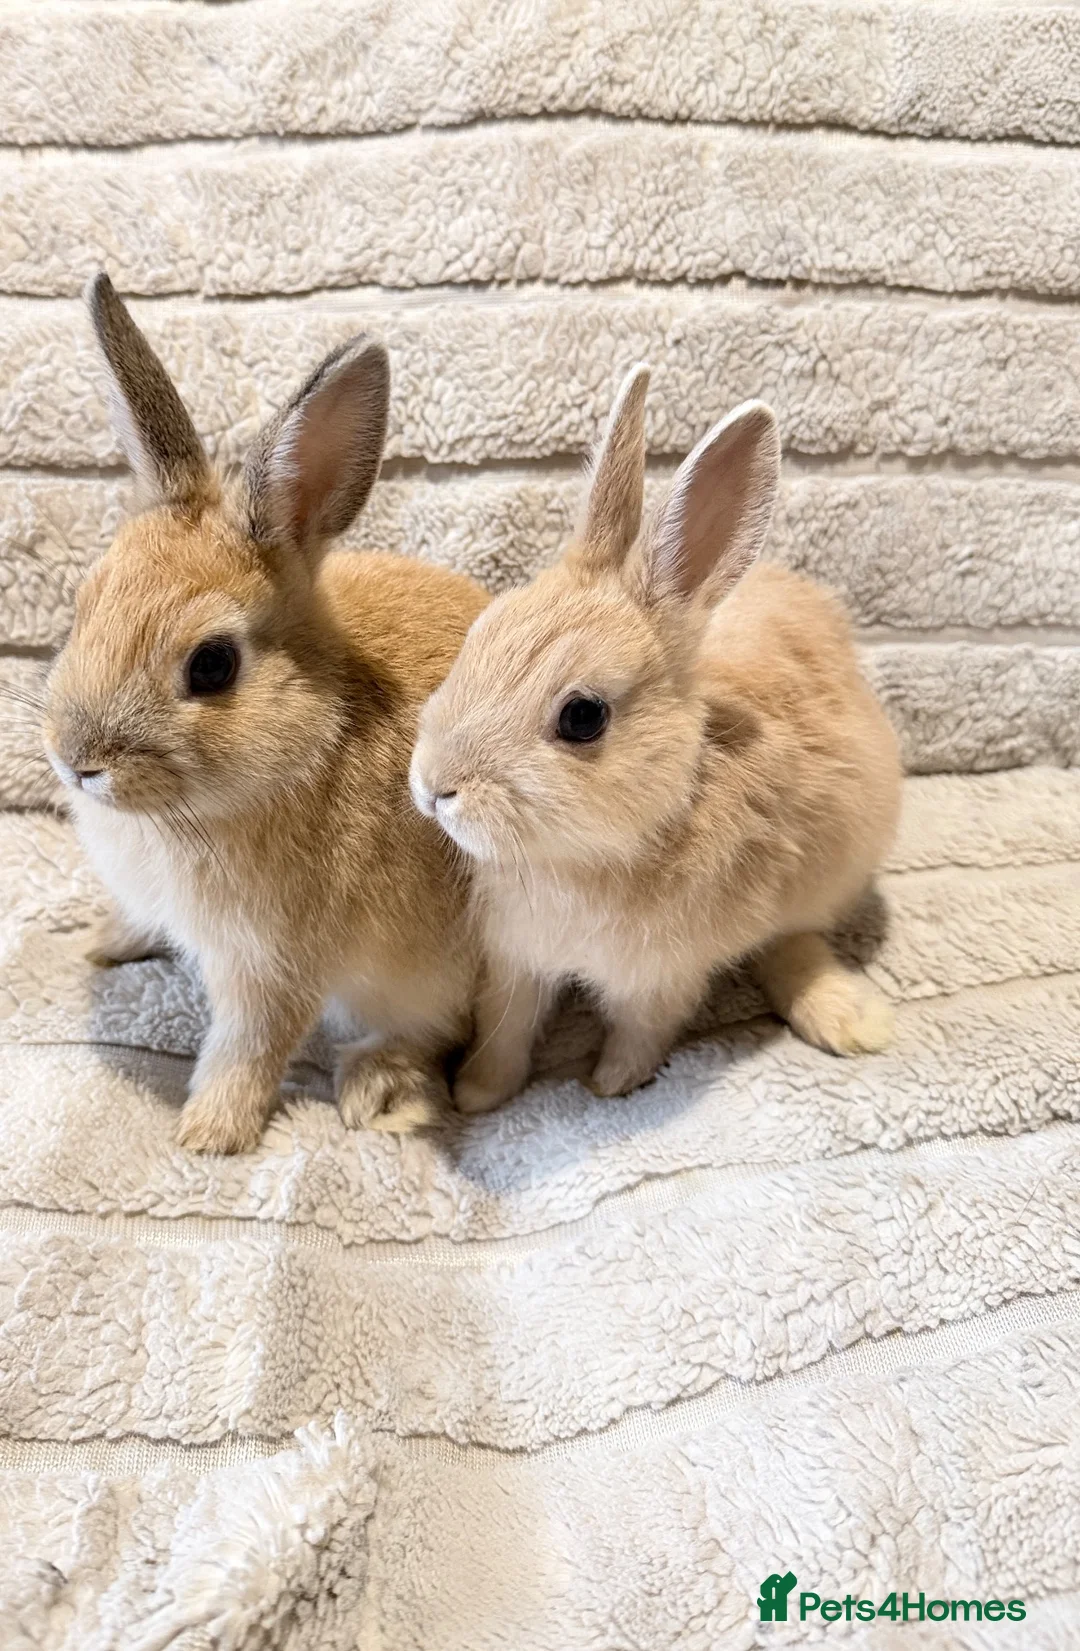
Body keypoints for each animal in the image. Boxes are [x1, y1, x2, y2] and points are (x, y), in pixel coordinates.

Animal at [42, 273, 489, 1153]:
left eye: (212, 665)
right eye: (83, 605)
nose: (78, 762)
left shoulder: (271, 965)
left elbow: (249, 1045)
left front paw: (207, 1134)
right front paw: (96, 945)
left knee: (431, 1030)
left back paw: (381, 1092)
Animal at [409, 364, 902, 1114]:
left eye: (583, 717)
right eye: (477, 636)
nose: (435, 786)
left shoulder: (663, 975)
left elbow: (642, 1030)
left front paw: (610, 1085)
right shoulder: (515, 961)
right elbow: (506, 1030)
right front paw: (476, 1093)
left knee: (790, 941)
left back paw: (851, 1018)